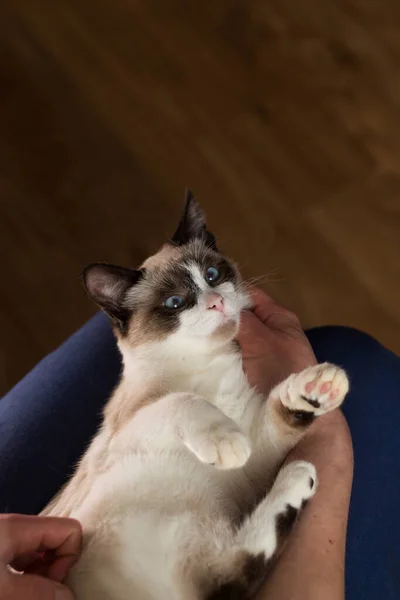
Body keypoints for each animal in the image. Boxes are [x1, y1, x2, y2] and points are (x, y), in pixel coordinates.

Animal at [43, 191, 348, 600]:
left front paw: (315, 390)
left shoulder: (253, 462)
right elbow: (182, 401)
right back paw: (298, 476)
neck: (207, 363)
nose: (216, 301)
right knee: (227, 580)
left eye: (213, 276)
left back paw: (301, 473)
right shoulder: (133, 427)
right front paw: (226, 442)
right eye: (175, 303)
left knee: (229, 576)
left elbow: (278, 420)